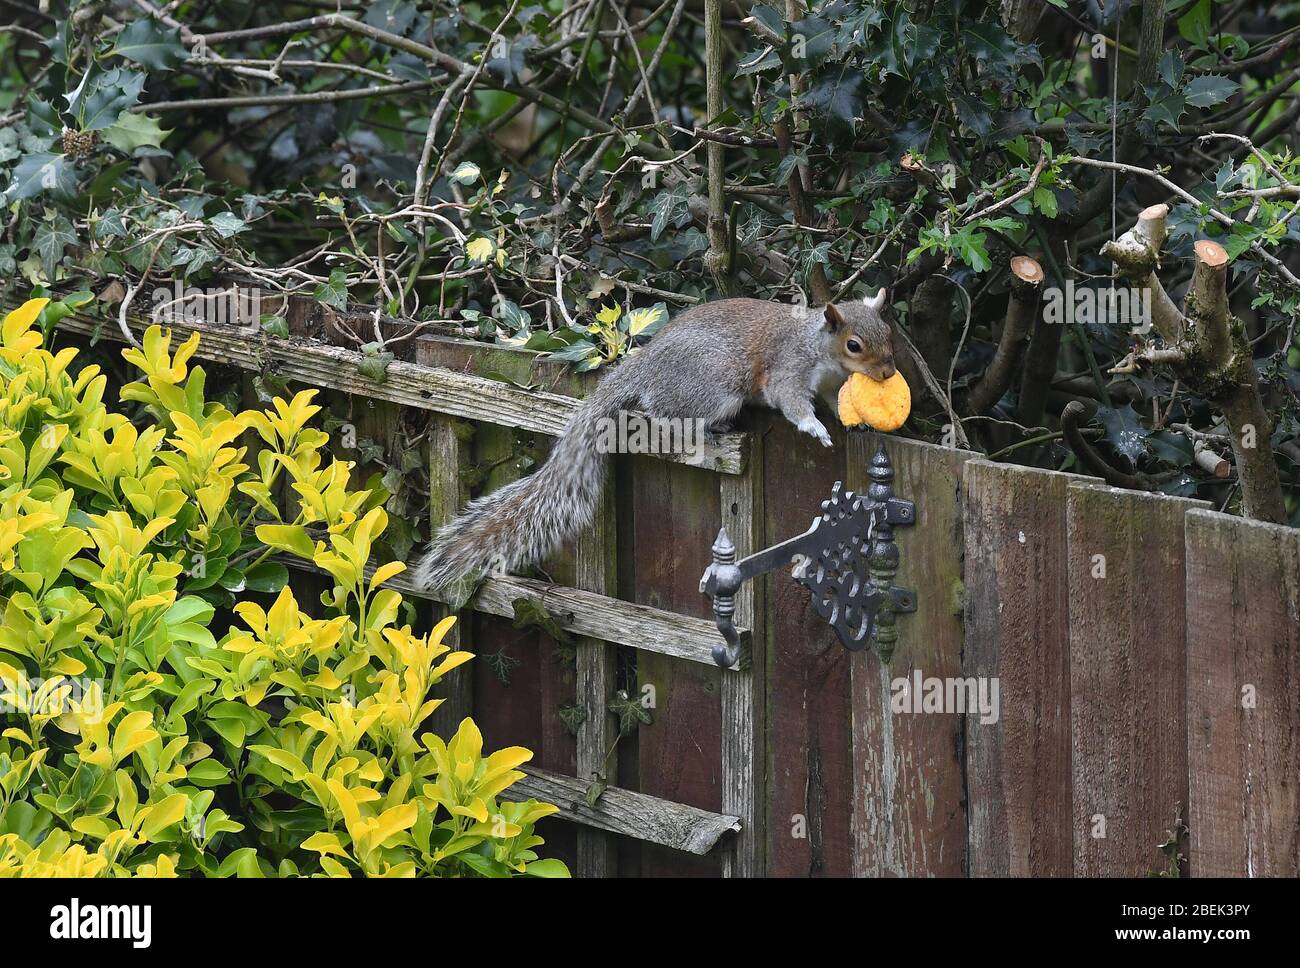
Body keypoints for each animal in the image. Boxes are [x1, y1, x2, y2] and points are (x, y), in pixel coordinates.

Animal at [414, 288, 895, 592]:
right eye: (854, 344)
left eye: (887, 335)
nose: (890, 372)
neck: (822, 352)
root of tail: (643, 367)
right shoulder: (787, 370)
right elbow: (792, 402)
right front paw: (815, 428)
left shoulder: (830, 385)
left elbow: (834, 402)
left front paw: (854, 423)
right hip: (715, 383)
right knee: (663, 415)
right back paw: (710, 429)